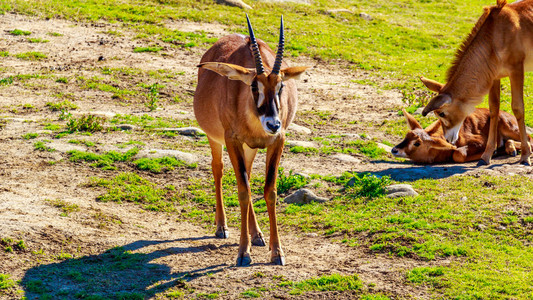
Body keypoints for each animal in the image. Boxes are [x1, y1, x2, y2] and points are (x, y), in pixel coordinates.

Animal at [192, 15, 308, 266]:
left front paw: (277, 252)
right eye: (254, 85)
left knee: (248, 175)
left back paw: (257, 235)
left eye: (281, 86)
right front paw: (243, 253)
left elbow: (269, 190)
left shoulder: (277, 141)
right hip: (216, 139)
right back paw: (222, 227)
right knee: (218, 169)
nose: (272, 123)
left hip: (250, 148)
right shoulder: (232, 140)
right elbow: (243, 191)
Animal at [390, 108, 528, 164]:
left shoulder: (481, 141)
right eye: (406, 136)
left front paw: (492, 153)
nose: (394, 150)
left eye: (417, 143)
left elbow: (457, 154)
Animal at [420, 0, 532, 164]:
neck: (495, 35)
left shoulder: (516, 70)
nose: (448, 139)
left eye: (442, 113)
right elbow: (494, 109)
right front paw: (486, 156)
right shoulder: (494, 76)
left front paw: (525, 156)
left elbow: (518, 108)